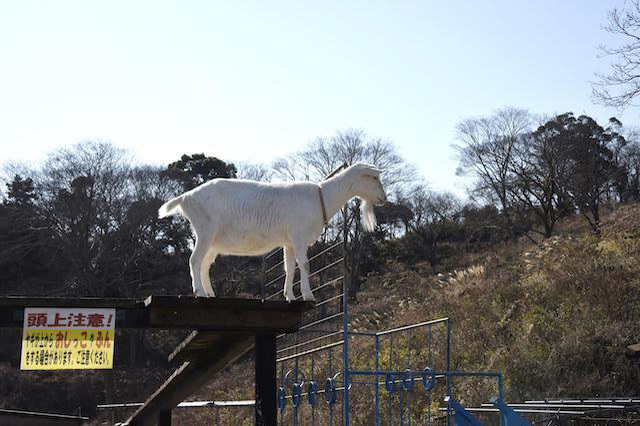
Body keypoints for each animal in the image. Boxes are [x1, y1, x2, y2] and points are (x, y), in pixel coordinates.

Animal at [158, 161, 388, 302]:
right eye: (374, 179)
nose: (384, 198)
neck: (322, 196)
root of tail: (186, 197)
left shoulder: (289, 241)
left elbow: (290, 268)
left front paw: (290, 296)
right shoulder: (299, 236)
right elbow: (305, 265)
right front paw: (308, 296)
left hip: (214, 240)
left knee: (204, 264)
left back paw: (210, 293)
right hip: (205, 229)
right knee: (194, 260)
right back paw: (200, 292)